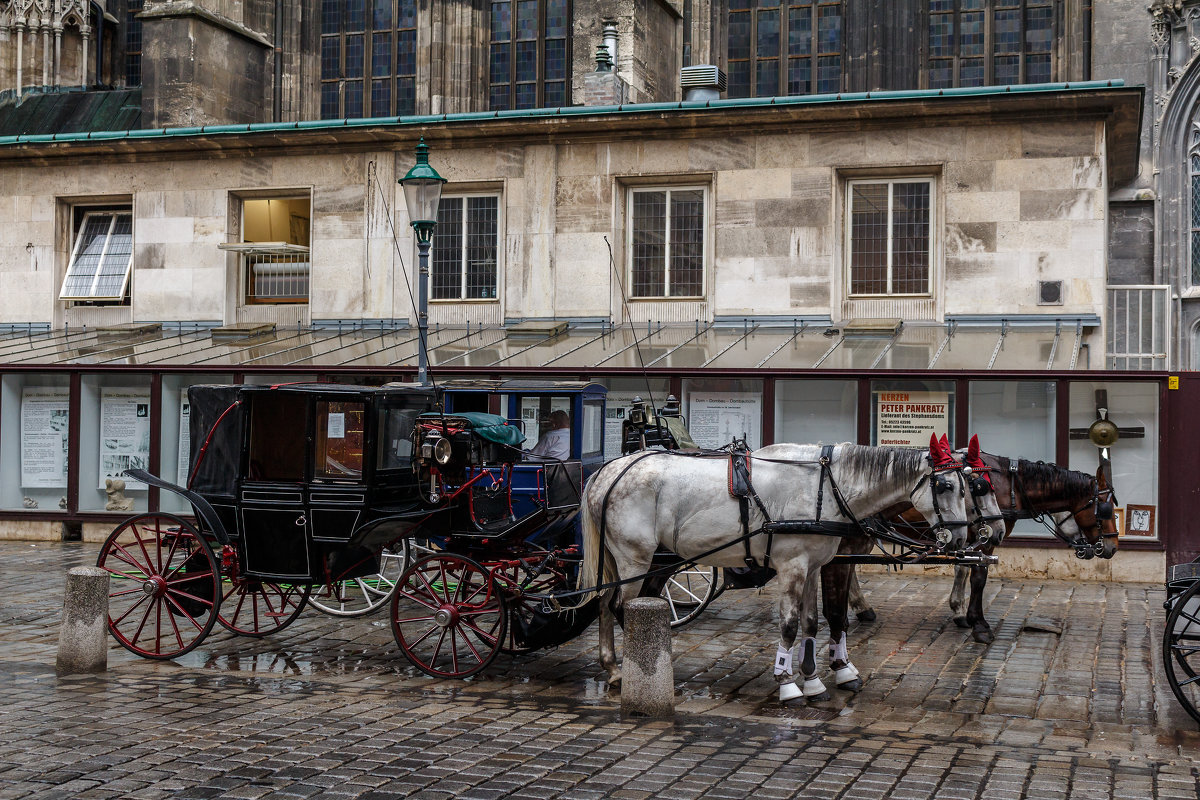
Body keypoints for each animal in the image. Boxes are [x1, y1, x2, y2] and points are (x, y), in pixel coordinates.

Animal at [580, 434, 1003, 705]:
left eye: (971, 486)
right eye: (950, 486)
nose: (967, 537)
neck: (826, 485)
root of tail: (609, 470)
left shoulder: (815, 564)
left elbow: (815, 622)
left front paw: (815, 679)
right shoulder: (793, 566)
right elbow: (791, 625)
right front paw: (788, 683)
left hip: (626, 561)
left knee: (604, 605)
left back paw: (615, 668)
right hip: (636, 557)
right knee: (619, 607)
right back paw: (629, 669)